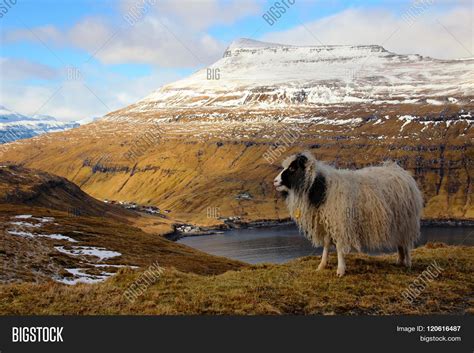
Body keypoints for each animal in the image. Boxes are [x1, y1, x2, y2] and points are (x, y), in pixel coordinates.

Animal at [272, 151, 424, 276]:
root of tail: (401, 172)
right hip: (399, 221)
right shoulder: (326, 221)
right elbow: (326, 244)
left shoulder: (340, 222)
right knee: (400, 242)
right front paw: (322, 265)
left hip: (407, 220)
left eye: (293, 168)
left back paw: (407, 263)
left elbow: (339, 246)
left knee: (405, 242)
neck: (322, 188)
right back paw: (399, 260)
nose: (275, 181)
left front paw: (340, 270)